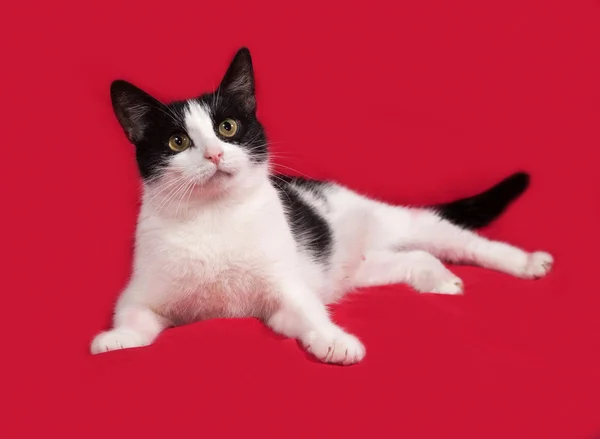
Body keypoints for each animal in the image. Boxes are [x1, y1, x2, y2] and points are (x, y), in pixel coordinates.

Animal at [91, 47, 556, 364]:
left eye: (228, 128)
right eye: (177, 141)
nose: (215, 154)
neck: (214, 218)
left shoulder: (287, 287)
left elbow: (307, 311)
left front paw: (336, 340)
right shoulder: (140, 293)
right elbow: (132, 316)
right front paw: (115, 339)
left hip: (400, 223)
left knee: (459, 240)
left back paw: (526, 263)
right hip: (358, 268)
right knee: (413, 257)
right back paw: (439, 279)